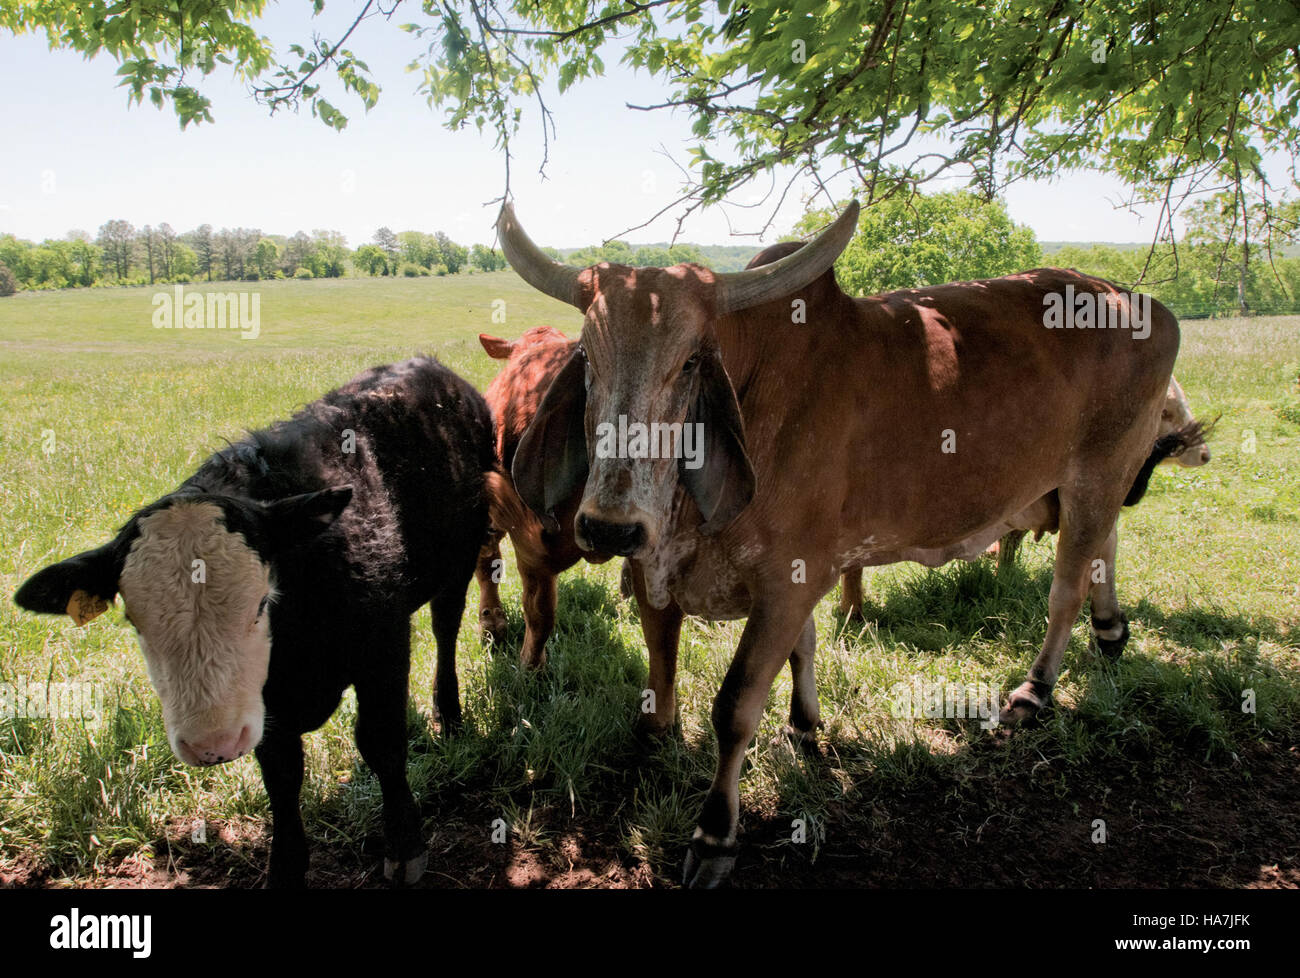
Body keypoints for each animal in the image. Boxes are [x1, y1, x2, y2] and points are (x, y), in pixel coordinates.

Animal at [12, 356, 493, 884]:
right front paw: (285, 866)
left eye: (263, 602)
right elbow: (281, 772)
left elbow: (381, 742)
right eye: (133, 622)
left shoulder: (383, 644)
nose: (212, 743)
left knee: (446, 627)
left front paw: (404, 845)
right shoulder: (264, 704)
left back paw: (449, 714)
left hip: (462, 558)